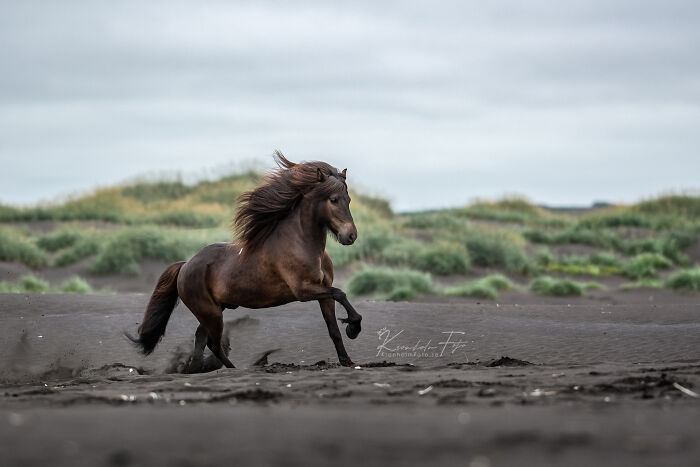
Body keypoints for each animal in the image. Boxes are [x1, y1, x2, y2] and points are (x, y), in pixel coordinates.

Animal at [126, 153, 364, 370]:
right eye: (333, 199)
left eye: (349, 199)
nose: (351, 236)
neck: (301, 242)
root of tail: (185, 265)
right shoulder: (303, 291)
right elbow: (341, 293)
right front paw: (353, 327)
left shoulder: (323, 291)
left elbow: (334, 328)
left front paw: (347, 358)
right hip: (210, 313)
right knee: (213, 343)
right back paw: (234, 368)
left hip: (214, 310)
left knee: (201, 339)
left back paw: (197, 369)